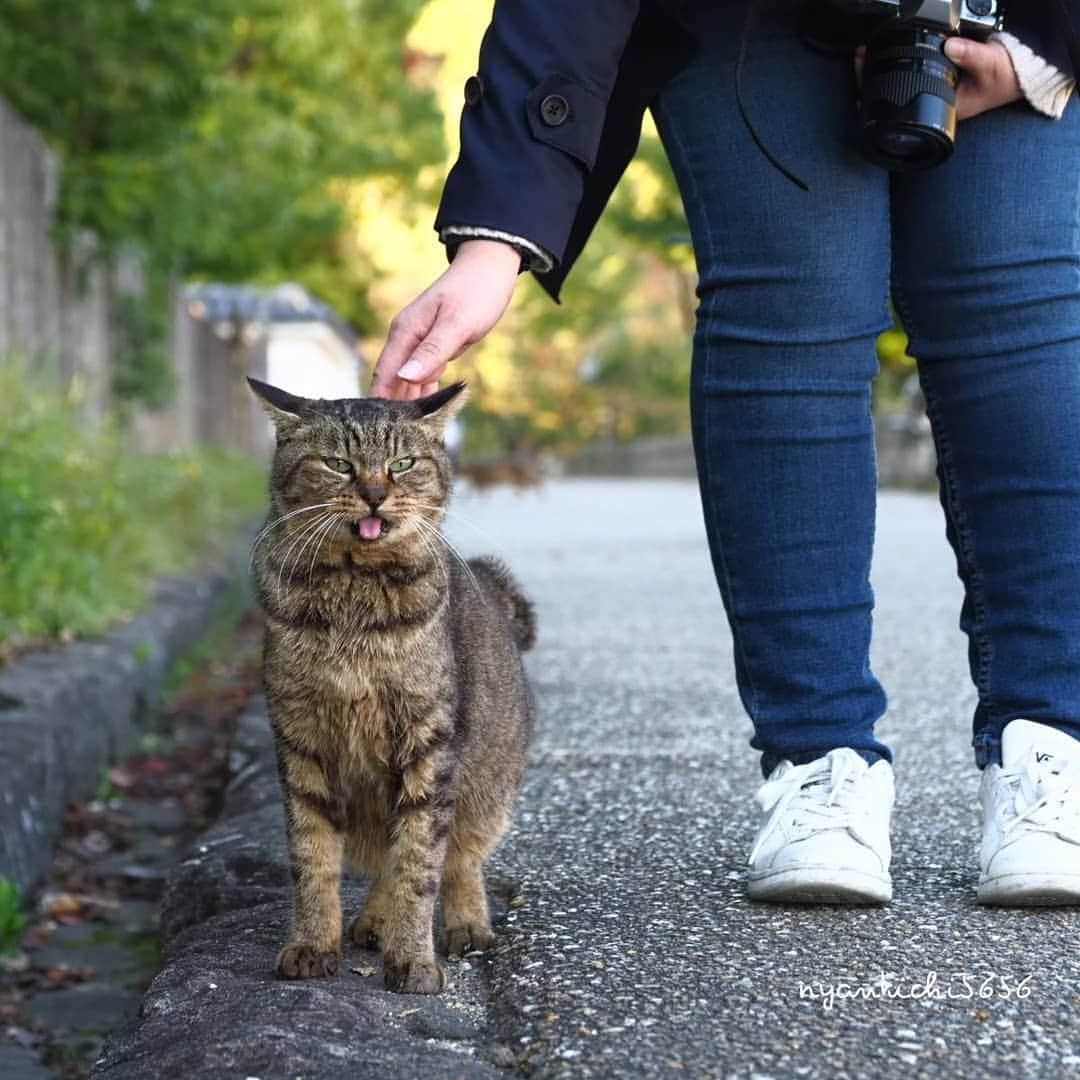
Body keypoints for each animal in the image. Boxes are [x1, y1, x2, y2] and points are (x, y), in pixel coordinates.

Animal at [245, 378, 531, 993]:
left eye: (402, 464)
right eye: (338, 464)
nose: (375, 494)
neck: (355, 590)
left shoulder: (429, 745)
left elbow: (420, 864)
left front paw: (413, 957)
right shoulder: (300, 741)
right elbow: (312, 859)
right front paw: (312, 943)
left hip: (486, 789)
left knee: (459, 858)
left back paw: (466, 922)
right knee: (382, 860)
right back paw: (374, 919)